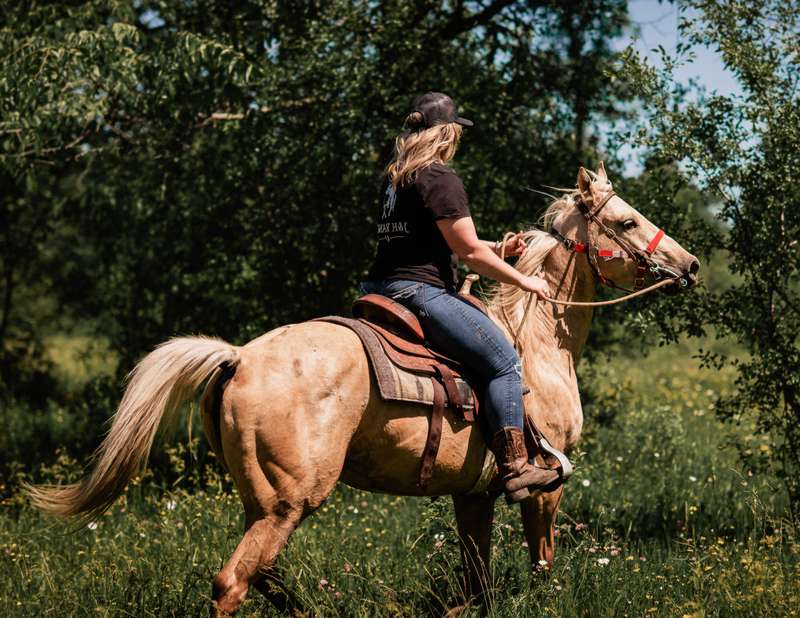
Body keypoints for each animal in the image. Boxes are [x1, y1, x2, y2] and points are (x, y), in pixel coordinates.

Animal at [28, 162, 696, 612]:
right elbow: (541, 564)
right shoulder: (544, 486)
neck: (533, 347)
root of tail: (238, 358)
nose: (688, 265)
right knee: (233, 583)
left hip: (261, 503)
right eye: (626, 219)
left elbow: (476, 582)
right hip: (289, 502)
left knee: (264, 576)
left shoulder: (473, 496)